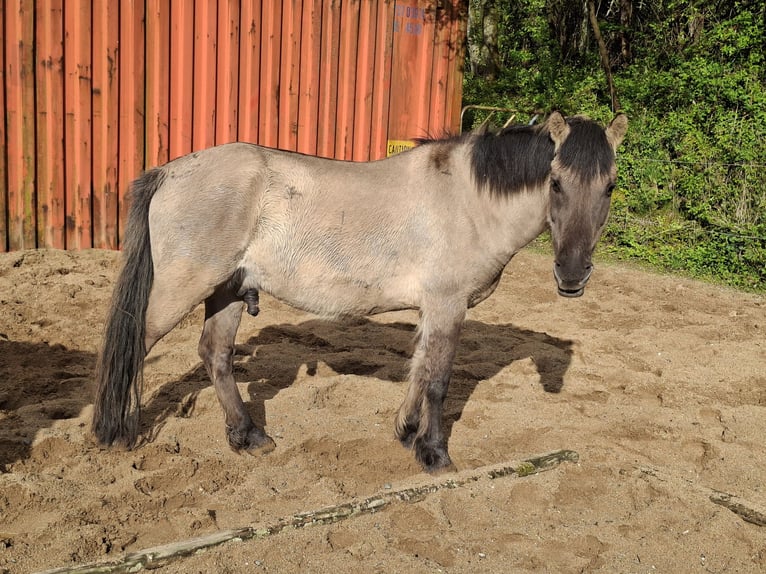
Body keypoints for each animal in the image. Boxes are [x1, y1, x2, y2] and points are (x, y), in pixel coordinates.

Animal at [92, 111, 627, 473]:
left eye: (609, 187)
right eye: (555, 182)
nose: (572, 275)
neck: (469, 200)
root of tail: (170, 172)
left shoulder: (433, 309)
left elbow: (419, 371)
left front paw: (406, 432)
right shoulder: (448, 305)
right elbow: (439, 380)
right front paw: (434, 454)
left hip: (227, 290)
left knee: (216, 355)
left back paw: (248, 436)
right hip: (182, 289)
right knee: (133, 347)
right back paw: (112, 432)